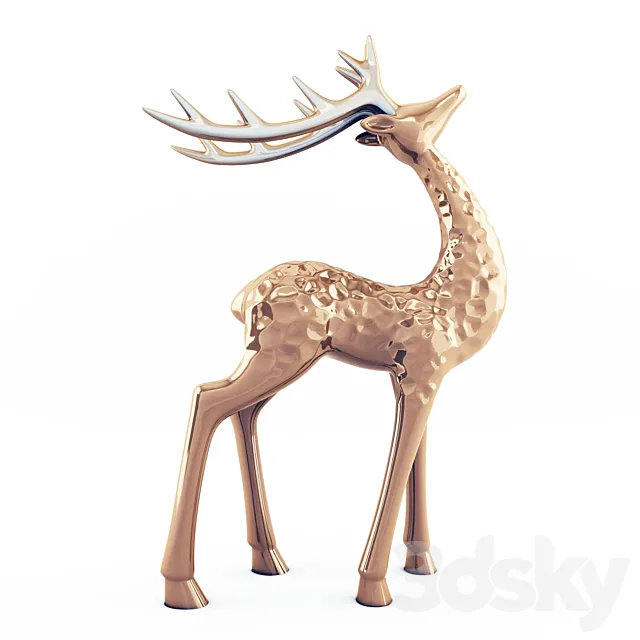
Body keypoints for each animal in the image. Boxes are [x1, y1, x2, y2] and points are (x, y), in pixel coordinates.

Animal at [144, 36, 506, 609]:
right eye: (412, 114)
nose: (456, 91)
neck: (450, 293)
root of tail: (243, 296)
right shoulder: (423, 372)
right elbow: (401, 461)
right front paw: (373, 588)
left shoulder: (418, 378)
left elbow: (418, 460)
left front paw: (421, 563)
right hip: (282, 352)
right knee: (207, 398)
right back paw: (184, 588)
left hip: (269, 353)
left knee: (242, 411)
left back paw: (269, 559)